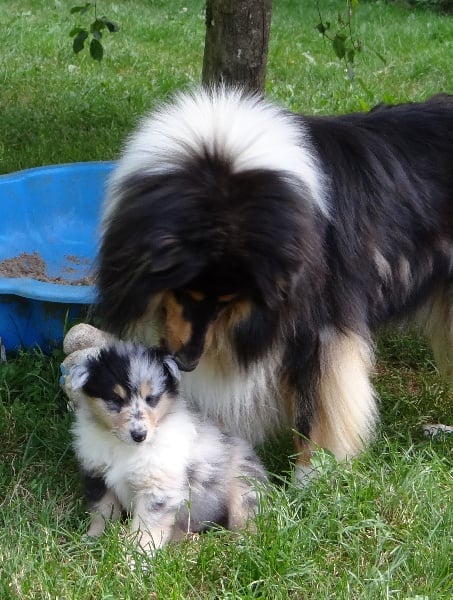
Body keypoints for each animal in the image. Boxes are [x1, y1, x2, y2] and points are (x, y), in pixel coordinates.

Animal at [69, 340, 266, 556]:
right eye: (116, 400)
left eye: (151, 398)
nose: (139, 435)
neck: (126, 447)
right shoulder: (97, 477)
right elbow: (102, 513)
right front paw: (94, 539)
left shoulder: (158, 489)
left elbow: (145, 527)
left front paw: (137, 556)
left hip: (244, 489)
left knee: (246, 519)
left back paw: (244, 545)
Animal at [96, 86, 452, 478]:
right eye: (185, 290)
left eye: (227, 300)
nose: (187, 362)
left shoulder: (319, 330)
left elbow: (315, 408)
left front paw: (310, 476)